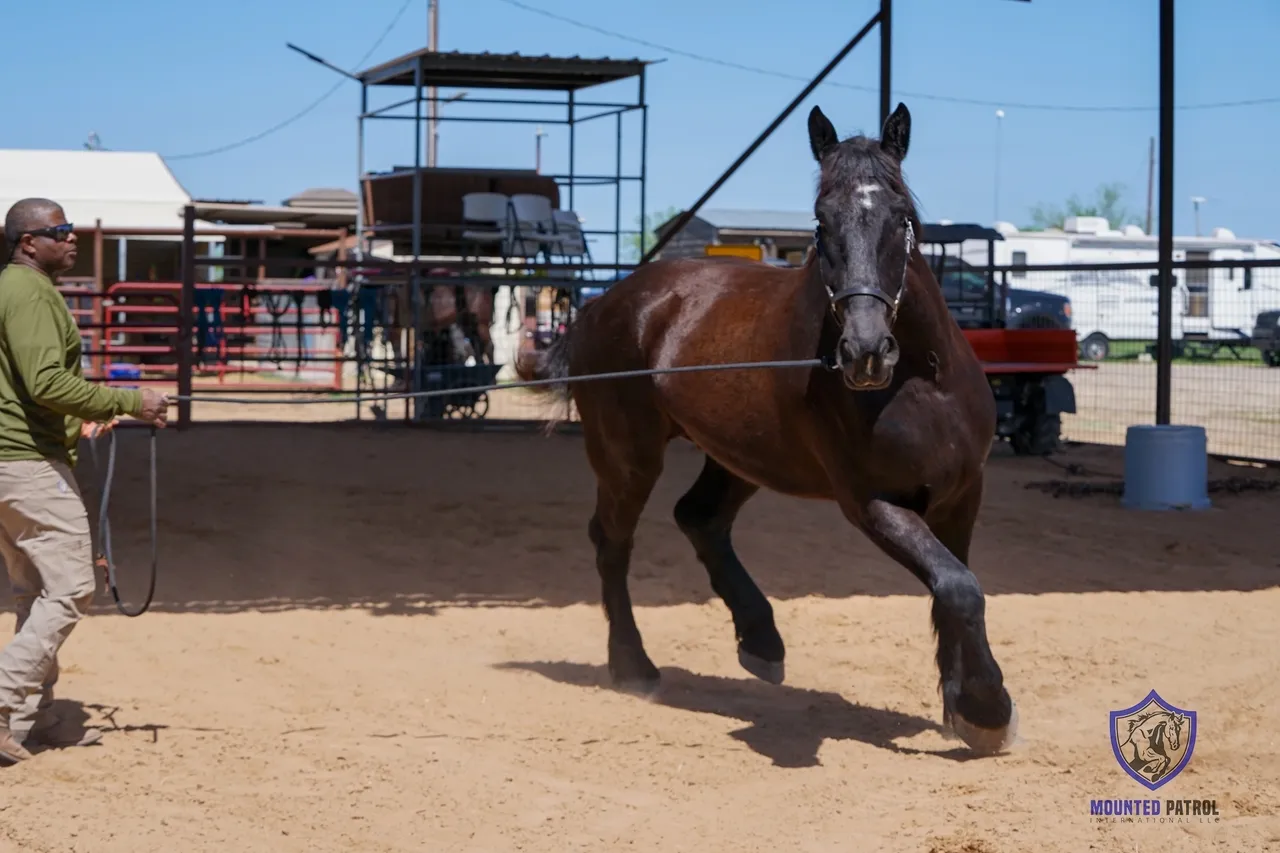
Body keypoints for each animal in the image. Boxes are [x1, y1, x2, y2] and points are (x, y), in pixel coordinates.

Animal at [514, 102, 1017, 756]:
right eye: (820, 222)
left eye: (901, 216)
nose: (864, 352)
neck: (920, 384)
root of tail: (605, 303)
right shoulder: (871, 502)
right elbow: (957, 587)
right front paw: (988, 710)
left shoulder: (962, 492)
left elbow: (955, 586)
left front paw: (961, 703)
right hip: (628, 455)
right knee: (613, 542)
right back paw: (634, 667)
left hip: (740, 455)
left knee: (699, 518)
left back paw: (760, 641)